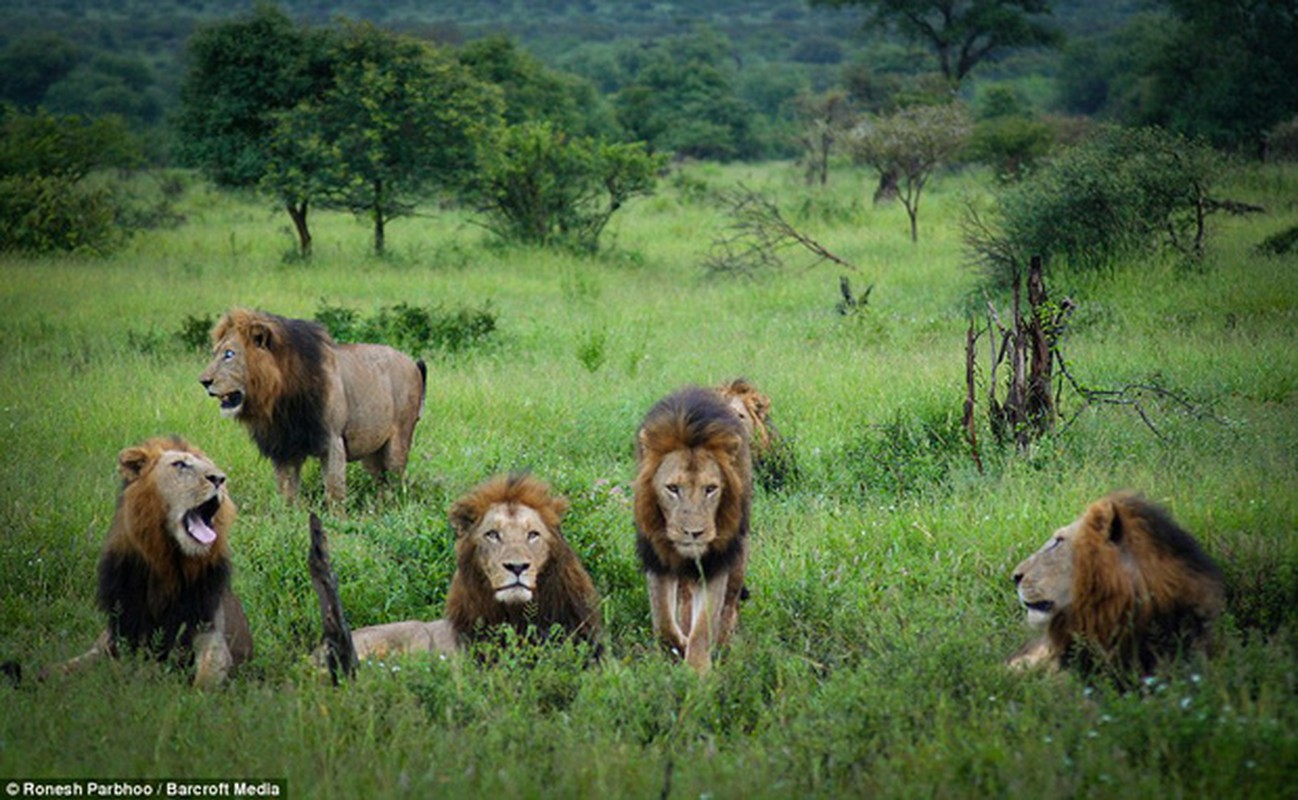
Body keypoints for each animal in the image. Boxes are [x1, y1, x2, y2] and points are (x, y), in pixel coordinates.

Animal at [198, 309, 425, 503]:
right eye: (214, 353)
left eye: (229, 354)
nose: (204, 381)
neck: (279, 398)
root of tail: (412, 362)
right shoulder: (285, 447)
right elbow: (286, 493)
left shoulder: (333, 441)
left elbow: (334, 492)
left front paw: (338, 523)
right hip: (372, 450)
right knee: (381, 483)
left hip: (398, 442)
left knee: (396, 484)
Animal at [636, 387, 758, 675]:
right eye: (672, 488)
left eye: (711, 489)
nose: (694, 532)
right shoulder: (656, 557)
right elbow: (664, 622)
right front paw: (678, 646)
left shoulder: (716, 561)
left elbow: (704, 626)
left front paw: (698, 673)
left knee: (729, 605)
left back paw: (723, 645)